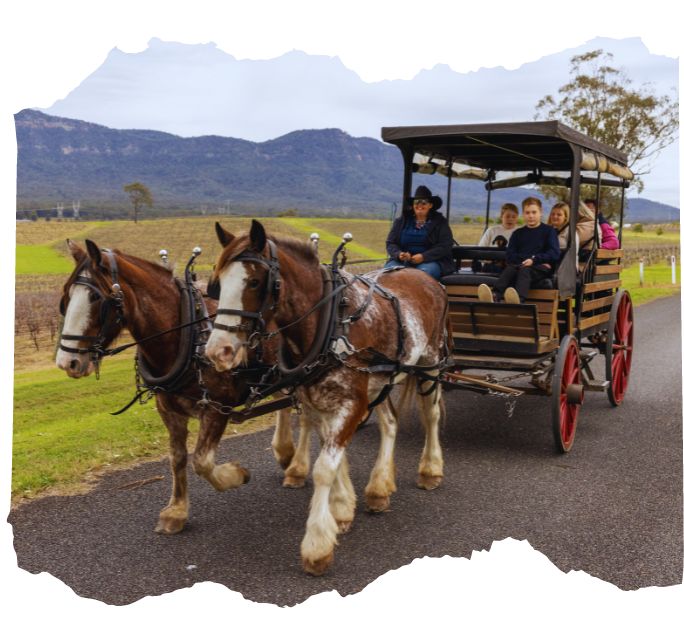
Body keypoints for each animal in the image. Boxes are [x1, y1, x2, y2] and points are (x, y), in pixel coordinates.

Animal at [54, 238, 306, 532]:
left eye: (96, 298)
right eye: (66, 296)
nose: (66, 362)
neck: (187, 333)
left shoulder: (216, 407)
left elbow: (202, 462)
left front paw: (237, 474)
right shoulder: (169, 409)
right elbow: (177, 458)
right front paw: (176, 511)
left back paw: (297, 468)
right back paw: (286, 454)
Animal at [203, 221, 448, 572]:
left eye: (254, 281)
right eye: (217, 283)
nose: (217, 351)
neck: (329, 323)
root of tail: (423, 275)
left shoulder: (352, 402)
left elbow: (324, 468)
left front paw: (317, 544)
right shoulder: (317, 399)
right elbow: (335, 455)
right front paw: (342, 508)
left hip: (430, 362)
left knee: (431, 415)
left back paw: (430, 469)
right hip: (381, 378)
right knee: (390, 422)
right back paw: (379, 487)